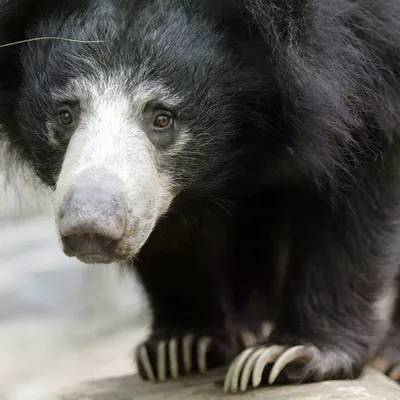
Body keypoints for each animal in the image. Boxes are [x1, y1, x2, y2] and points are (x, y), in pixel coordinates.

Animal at [0, 0, 400, 394]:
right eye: (65, 114)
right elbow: (173, 235)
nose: (90, 228)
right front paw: (181, 346)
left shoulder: (368, 57)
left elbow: (354, 184)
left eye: (162, 118)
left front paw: (289, 355)